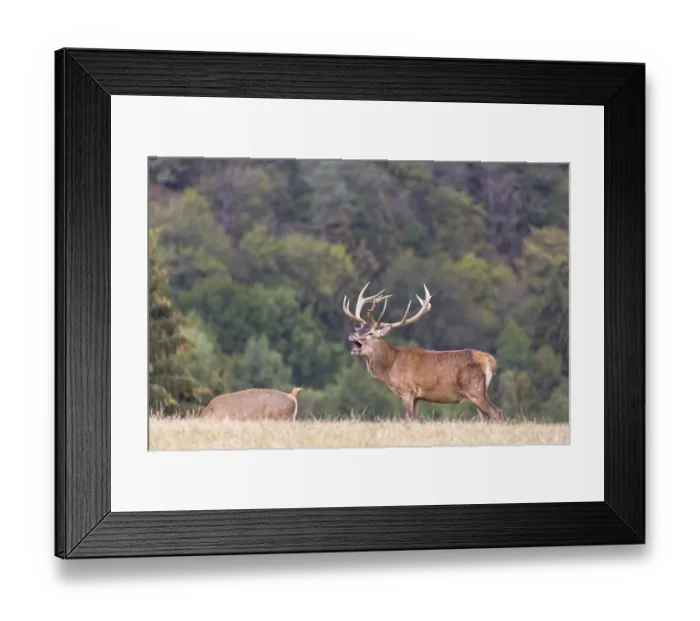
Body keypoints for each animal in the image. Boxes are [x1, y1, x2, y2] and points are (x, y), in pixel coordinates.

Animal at [343, 283, 503, 423]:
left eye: (370, 333)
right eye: (359, 329)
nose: (351, 336)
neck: (390, 366)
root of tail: (489, 360)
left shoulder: (407, 391)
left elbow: (407, 419)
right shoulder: (417, 397)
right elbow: (415, 419)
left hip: (475, 389)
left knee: (496, 412)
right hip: (478, 392)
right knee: (484, 417)